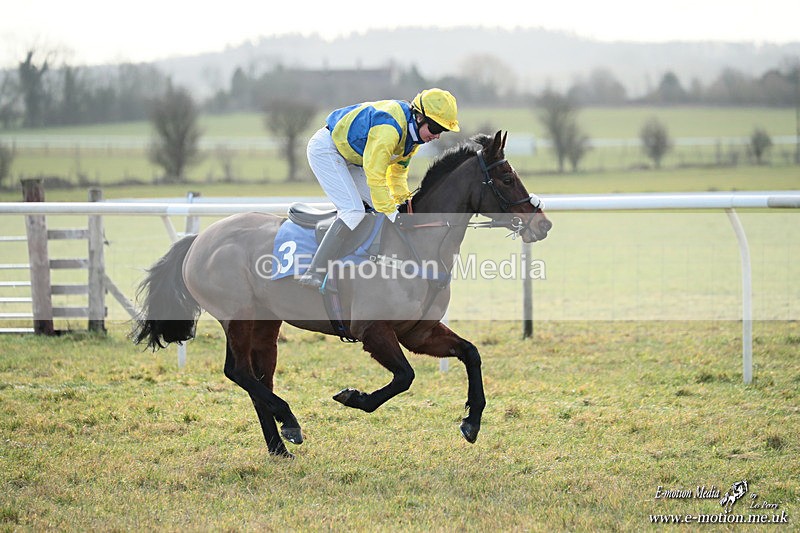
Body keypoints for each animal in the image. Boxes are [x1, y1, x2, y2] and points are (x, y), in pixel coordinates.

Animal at [132, 131, 552, 458]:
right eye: (507, 177)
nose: (543, 224)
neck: (413, 245)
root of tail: (199, 239)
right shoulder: (373, 330)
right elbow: (405, 376)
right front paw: (355, 397)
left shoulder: (419, 332)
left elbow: (471, 354)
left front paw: (472, 421)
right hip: (237, 316)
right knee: (237, 371)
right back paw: (289, 420)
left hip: (266, 323)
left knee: (258, 379)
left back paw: (279, 444)